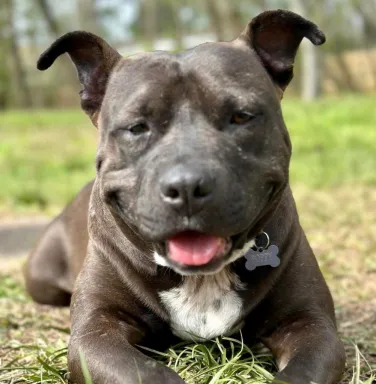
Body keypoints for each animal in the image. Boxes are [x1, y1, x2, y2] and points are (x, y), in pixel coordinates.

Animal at [24, 9, 346, 384]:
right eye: (137, 127)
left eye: (241, 116)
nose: (188, 186)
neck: (202, 279)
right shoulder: (96, 334)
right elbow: (146, 373)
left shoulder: (311, 326)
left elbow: (301, 371)